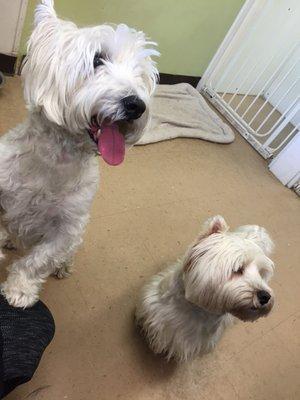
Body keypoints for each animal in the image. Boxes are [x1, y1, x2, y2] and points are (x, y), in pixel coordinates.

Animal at [0, 0, 159, 308]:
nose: (136, 105)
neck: (54, 160)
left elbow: (38, 260)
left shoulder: (68, 227)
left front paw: (20, 290)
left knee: (61, 255)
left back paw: (62, 266)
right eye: (97, 60)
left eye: (140, 74)